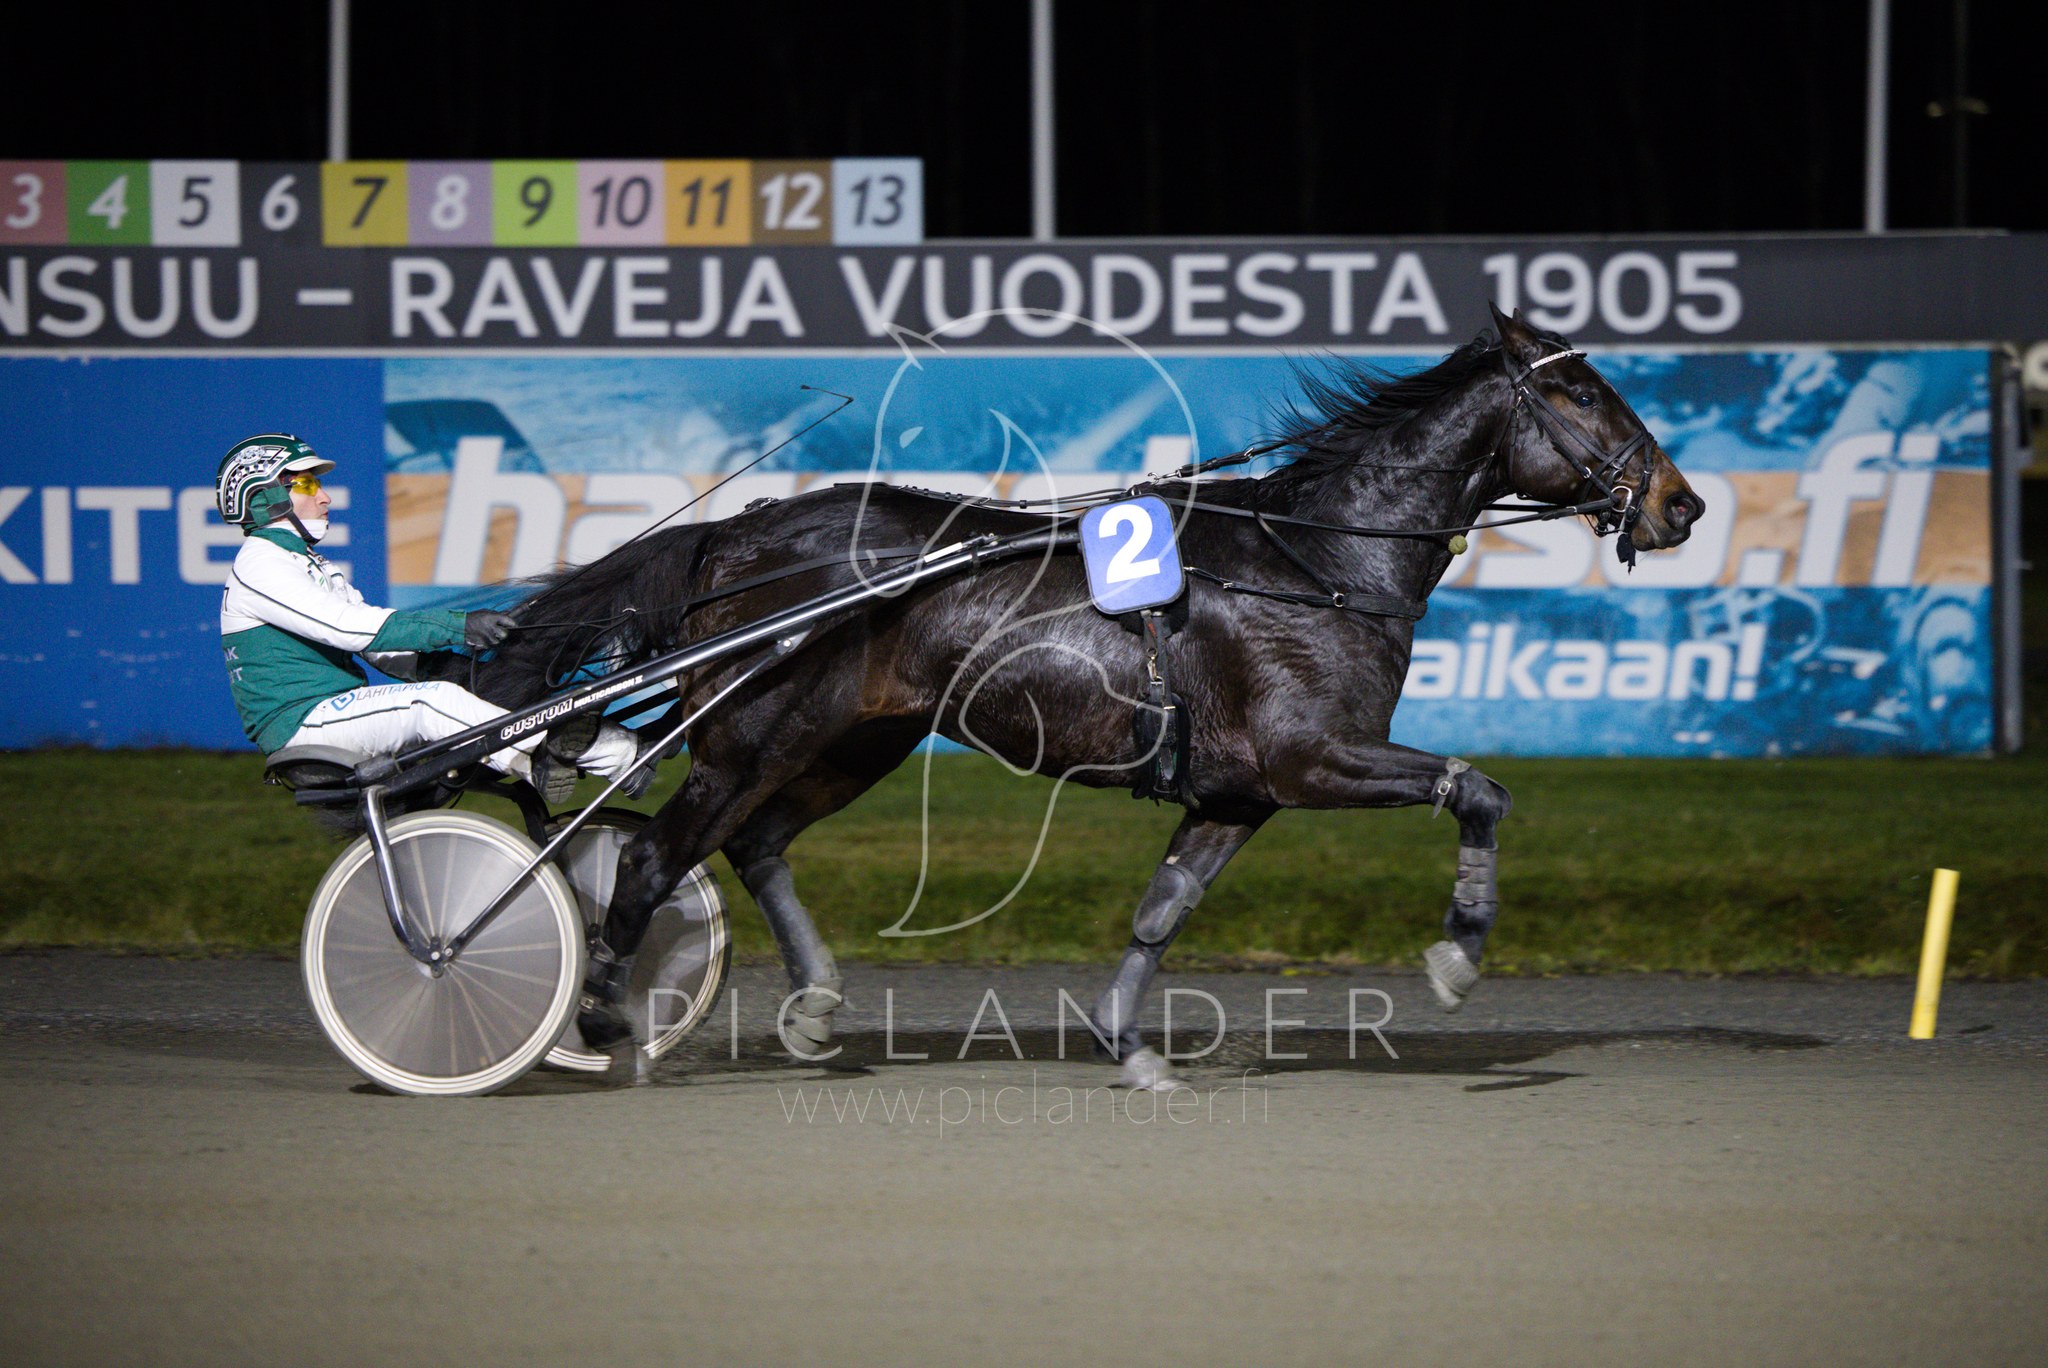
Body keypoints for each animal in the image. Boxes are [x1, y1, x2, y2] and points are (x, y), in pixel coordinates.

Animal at [459, 306, 1705, 1087]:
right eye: (1579, 390)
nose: (1680, 504)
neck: (1317, 561)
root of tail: (731, 534)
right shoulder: (1312, 757)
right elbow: (1477, 789)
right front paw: (1454, 959)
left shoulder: (1238, 793)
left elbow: (1161, 911)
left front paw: (1130, 1047)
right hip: (748, 732)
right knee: (654, 855)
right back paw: (598, 1011)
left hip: (855, 738)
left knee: (756, 842)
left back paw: (810, 1003)